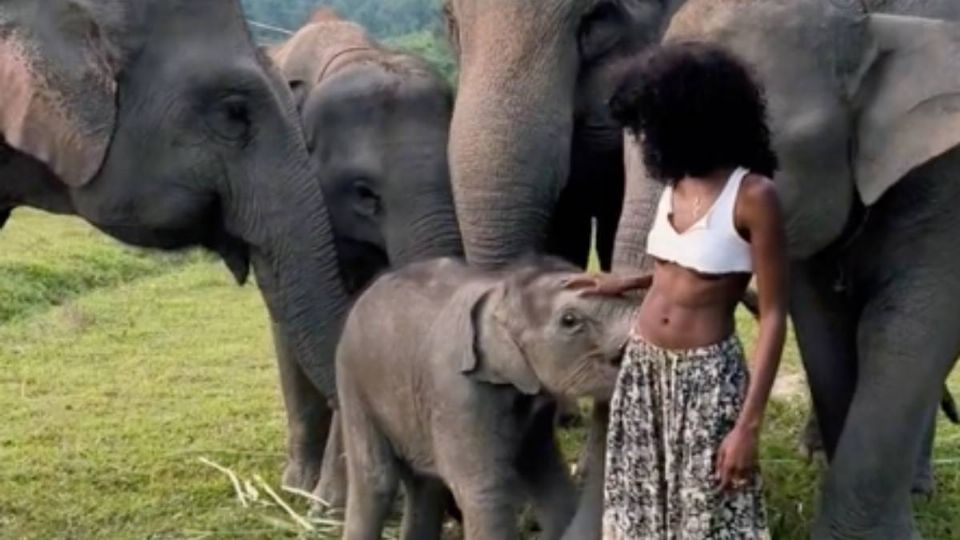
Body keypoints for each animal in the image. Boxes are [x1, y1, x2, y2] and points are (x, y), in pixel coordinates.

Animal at [334, 258, 632, 540]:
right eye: (569, 320)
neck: (501, 291)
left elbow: (547, 474)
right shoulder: (457, 393)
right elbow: (485, 490)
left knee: (424, 482)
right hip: (352, 380)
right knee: (376, 479)